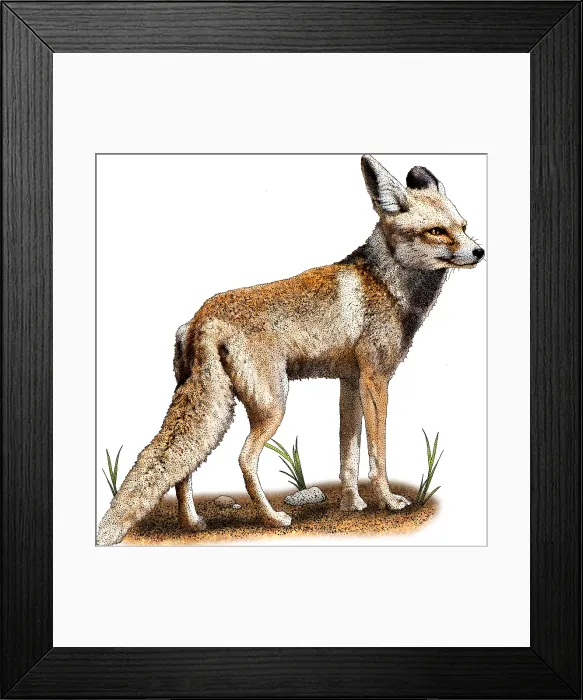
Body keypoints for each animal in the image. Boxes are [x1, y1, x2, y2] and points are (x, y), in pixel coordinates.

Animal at [97, 155, 484, 545]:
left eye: (464, 226)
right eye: (437, 231)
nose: (479, 251)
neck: (386, 283)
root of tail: (201, 317)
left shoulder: (350, 382)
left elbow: (349, 457)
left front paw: (352, 505)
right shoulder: (376, 380)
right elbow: (378, 456)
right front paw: (388, 501)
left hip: (214, 407)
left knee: (184, 467)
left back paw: (191, 523)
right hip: (272, 406)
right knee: (243, 459)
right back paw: (272, 518)